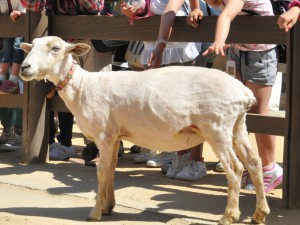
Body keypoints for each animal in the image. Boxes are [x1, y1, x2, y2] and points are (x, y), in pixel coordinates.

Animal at [19, 36, 270, 225]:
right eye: (32, 47)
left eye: (55, 48)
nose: (24, 67)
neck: (82, 87)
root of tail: (244, 93)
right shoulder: (115, 135)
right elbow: (111, 169)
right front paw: (109, 206)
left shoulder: (103, 135)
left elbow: (102, 170)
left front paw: (96, 212)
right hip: (237, 125)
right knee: (254, 162)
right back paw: (259, 214)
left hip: (217, 127)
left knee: (235, 168)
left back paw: (229, 216)